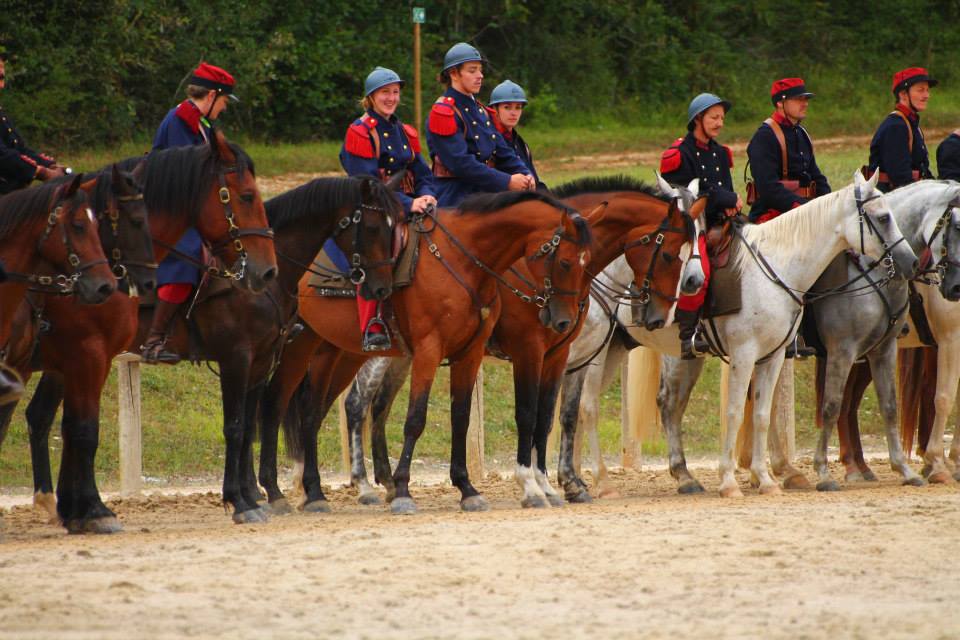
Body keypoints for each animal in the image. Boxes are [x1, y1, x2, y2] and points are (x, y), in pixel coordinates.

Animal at [0, 135, 280, 536]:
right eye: (245, 196)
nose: (266, 270)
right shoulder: (90, 355)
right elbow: (85, 430)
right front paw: (95, 511)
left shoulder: (85, 361)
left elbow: (75, 429)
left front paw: (80, 511)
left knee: (37, 417)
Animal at [258, 190, 592, 516]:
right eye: (565, 262)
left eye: (585, 263)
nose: (563, 320)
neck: (464, 262)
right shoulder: (432, 351)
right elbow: (416, 418)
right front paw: (404, 491)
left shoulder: (470, 354)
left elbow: (461, 417)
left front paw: (467, 489)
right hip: (299, 347)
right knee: (277, 404)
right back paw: (277, 491)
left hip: (333, 351)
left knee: (312, 412)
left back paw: (313, 492)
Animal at [338, 174, 704, 510]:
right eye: (670, 254)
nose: (663, 314)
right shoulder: (531, 353)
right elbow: (529, 415)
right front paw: (532, 485)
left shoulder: (564, 357)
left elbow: (554, 417)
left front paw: (559, 484)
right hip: (381, 353)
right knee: (357, 404)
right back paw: (365, 485)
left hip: (404, 354)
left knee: (380, 405)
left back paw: (387, 482)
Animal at [560, 171, 920, 500]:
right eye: (883, 217)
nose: (910, 261)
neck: (777, 265)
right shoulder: (750, 355)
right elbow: (735, 411)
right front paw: (730, 481)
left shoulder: (773, 357)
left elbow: (760, 415)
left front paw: (766, 479)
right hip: (598, 352)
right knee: (588, 406)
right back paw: (599, 481)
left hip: (624, 348)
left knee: (651, 405)